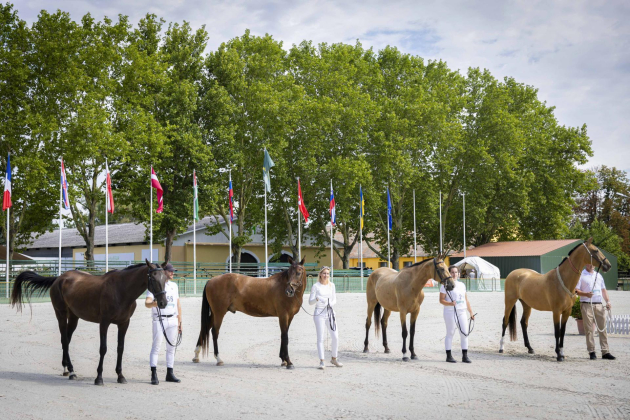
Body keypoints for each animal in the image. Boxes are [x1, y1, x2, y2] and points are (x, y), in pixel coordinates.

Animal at [11, 260, 169, 386]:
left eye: (165, 279)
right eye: (153, 278)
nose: (163, 303)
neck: (121, 290)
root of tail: (59, 278)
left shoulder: (124, 323)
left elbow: (120, 348)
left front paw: (120, 376)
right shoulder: (104, 323)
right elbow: (103, 348)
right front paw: (99, 378)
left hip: (74, 317)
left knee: (67, 340)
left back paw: (66, 369)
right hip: (60, 314)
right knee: (64, 340)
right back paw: (72, 371)